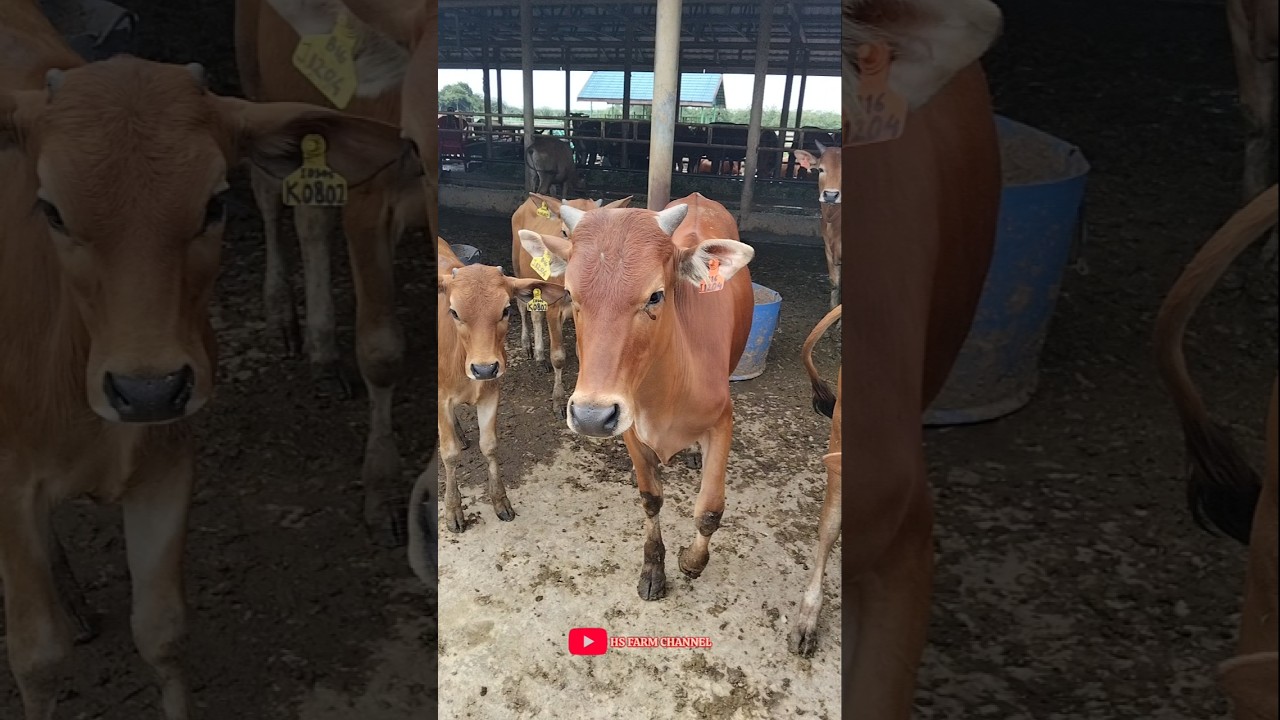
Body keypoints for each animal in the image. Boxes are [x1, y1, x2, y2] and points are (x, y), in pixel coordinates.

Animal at [0, 4, 410, 717]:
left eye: (213, 202)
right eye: (50, 209)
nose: (147, 391)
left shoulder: (168, 461)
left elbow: (162, 633)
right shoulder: (9, 484)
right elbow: (37, 659)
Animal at [234, 0, 430, 546]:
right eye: (415, 144)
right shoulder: (368, 199)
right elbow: (381, 352)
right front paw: (382, 490)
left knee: (311, 219)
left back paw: (322, 349)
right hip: (256, 87)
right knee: (268, 193)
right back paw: (282, 314)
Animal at [437, 238, 565, 533]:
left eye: (505, 309)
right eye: (454, 312)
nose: (484, 368)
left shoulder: (491, 392)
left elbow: (490, 445)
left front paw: (500, 500)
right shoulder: (440, 398)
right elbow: (449, 455)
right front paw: (453, 509)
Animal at [510, 192, 633, 415]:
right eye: (564, 232)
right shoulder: (553, 307)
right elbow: (558, 356)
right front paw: (558, 399)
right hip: (518, 267)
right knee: (525, 309)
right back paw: (529, 347)